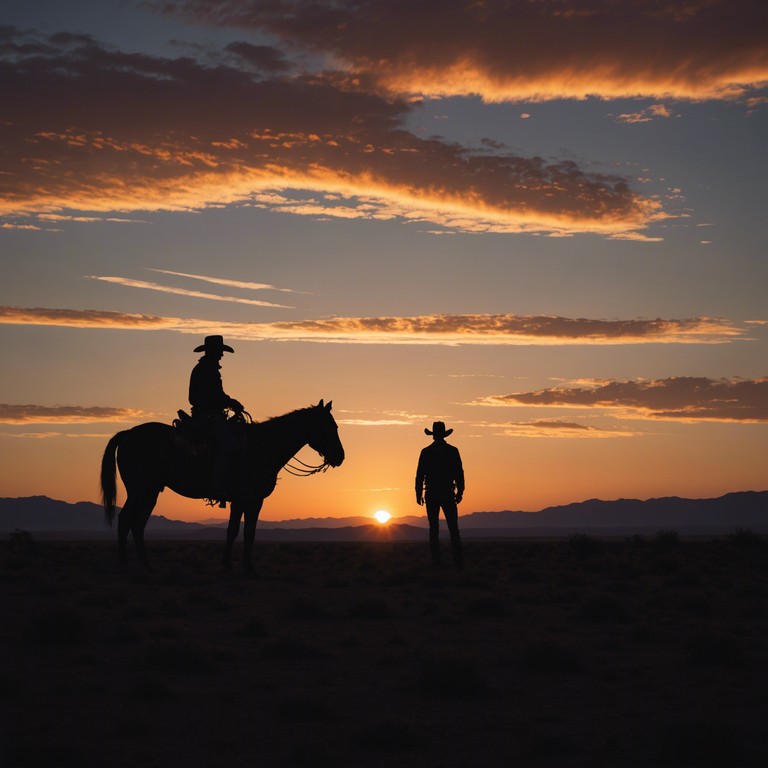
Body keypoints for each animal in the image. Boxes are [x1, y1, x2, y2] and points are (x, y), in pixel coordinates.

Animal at [100, 402, 344, 568]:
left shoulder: (247, 502)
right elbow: (240, 532)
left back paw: (146, 566)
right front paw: (238, 568)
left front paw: (238, 568)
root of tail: (128, 434)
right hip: (139, 490)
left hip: (150, 492)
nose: (340, 456)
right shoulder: (247, 499)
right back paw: (124, 566)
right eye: (328, 427)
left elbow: (241, 532)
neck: (262, 448)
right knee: (125, 521)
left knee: (137, 524)